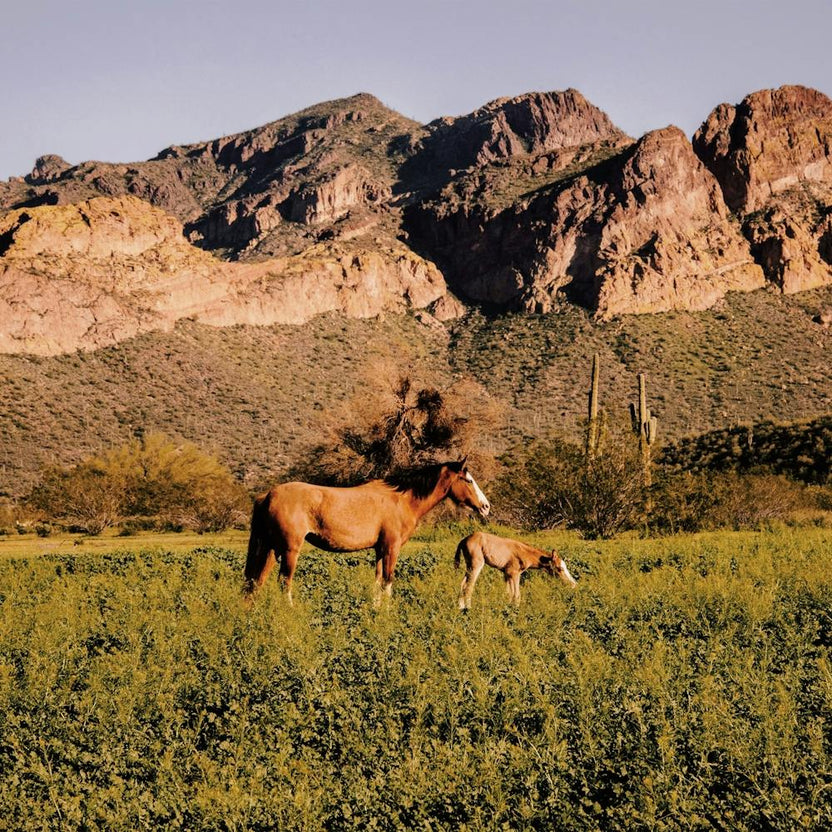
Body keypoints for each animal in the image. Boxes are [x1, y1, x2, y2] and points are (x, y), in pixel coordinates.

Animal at [245, 458, 490, 602]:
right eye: (468, 480)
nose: (485, 506)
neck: (402, 500)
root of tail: (268, 495)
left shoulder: (380, 550)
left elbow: (378, 582)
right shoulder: (391, 548)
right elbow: (388, 581)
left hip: (270, 549)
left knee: (257, 581)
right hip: (289, 550)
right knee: (284, 582)